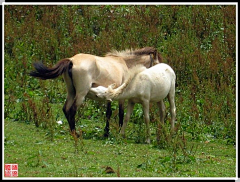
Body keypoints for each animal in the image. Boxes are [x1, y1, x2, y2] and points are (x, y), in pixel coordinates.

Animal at [30, 47, 161, 136]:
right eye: (157, 63)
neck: (125, 64)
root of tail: (71, 60)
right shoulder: (121, 96)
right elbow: (121, 113)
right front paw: (118, 131)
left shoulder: (109, 95)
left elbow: (108, 113)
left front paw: (106, 132)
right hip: (81, 94)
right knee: (72, 110)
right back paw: (75, 133)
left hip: (72, 92)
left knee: (65, 109)